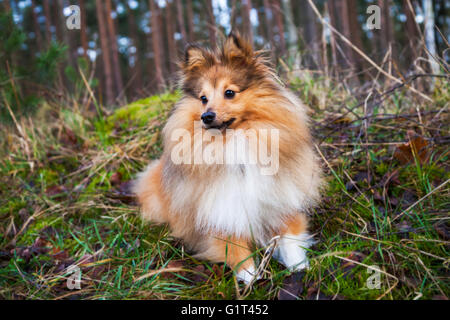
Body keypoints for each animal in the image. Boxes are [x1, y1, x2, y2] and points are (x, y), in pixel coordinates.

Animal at [132, 31, 322, 282]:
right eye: (203, 98)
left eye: (229, 92)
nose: (206, 116)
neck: (233, 142)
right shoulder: (221, 208)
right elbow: (233, 244)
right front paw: (249, 275)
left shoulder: (282, 198)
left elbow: (291, 235)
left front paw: (299, 266)